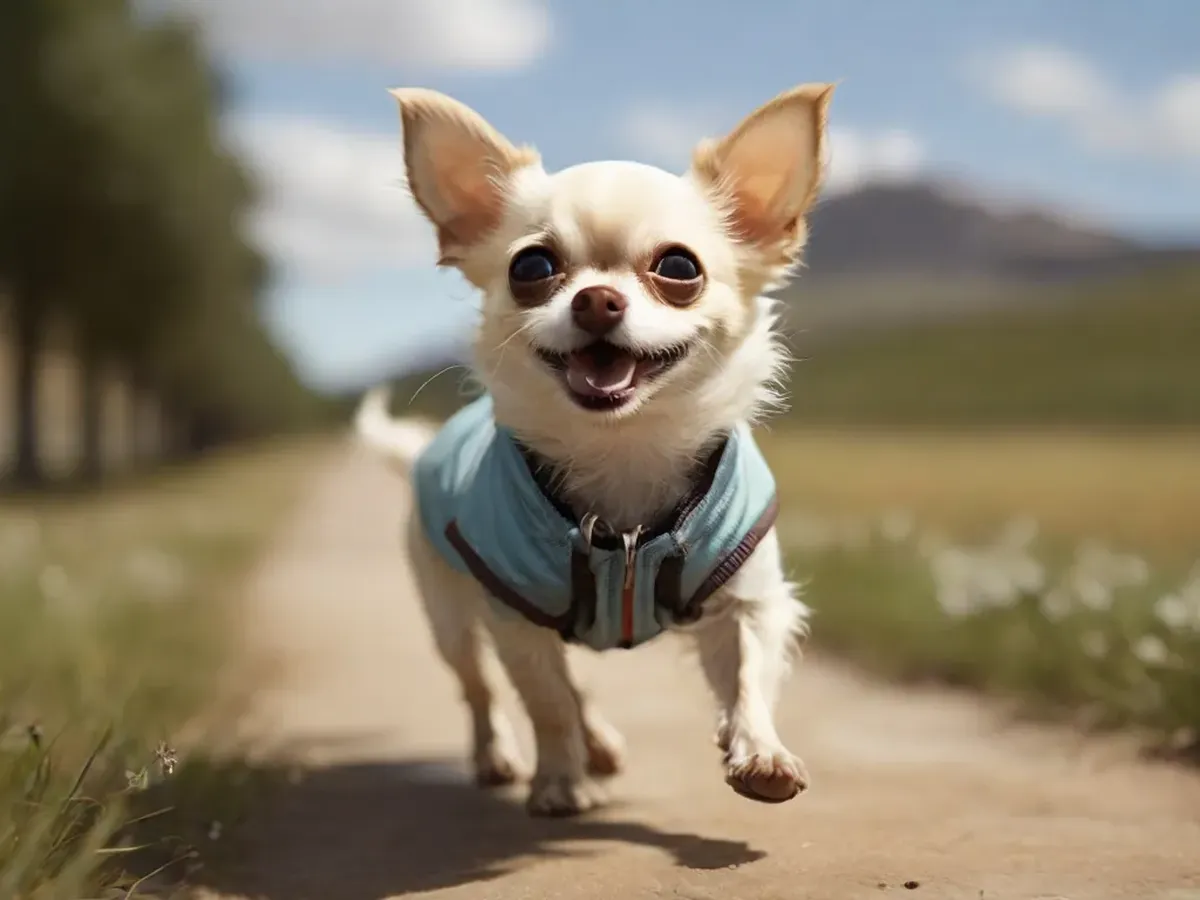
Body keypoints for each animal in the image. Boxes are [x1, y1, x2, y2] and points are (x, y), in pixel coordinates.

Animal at [355, 82, 835, 816]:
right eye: (532, 266)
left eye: (678, 268)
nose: (597, 300)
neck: (625, 454)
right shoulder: (515, 614)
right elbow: (546, 702)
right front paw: (557, 780)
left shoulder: (746, 599)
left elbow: (749, 679)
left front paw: (759, 752)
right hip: (450, 614)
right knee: (481, 687)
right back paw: (499, 756)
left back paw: (600, 746)